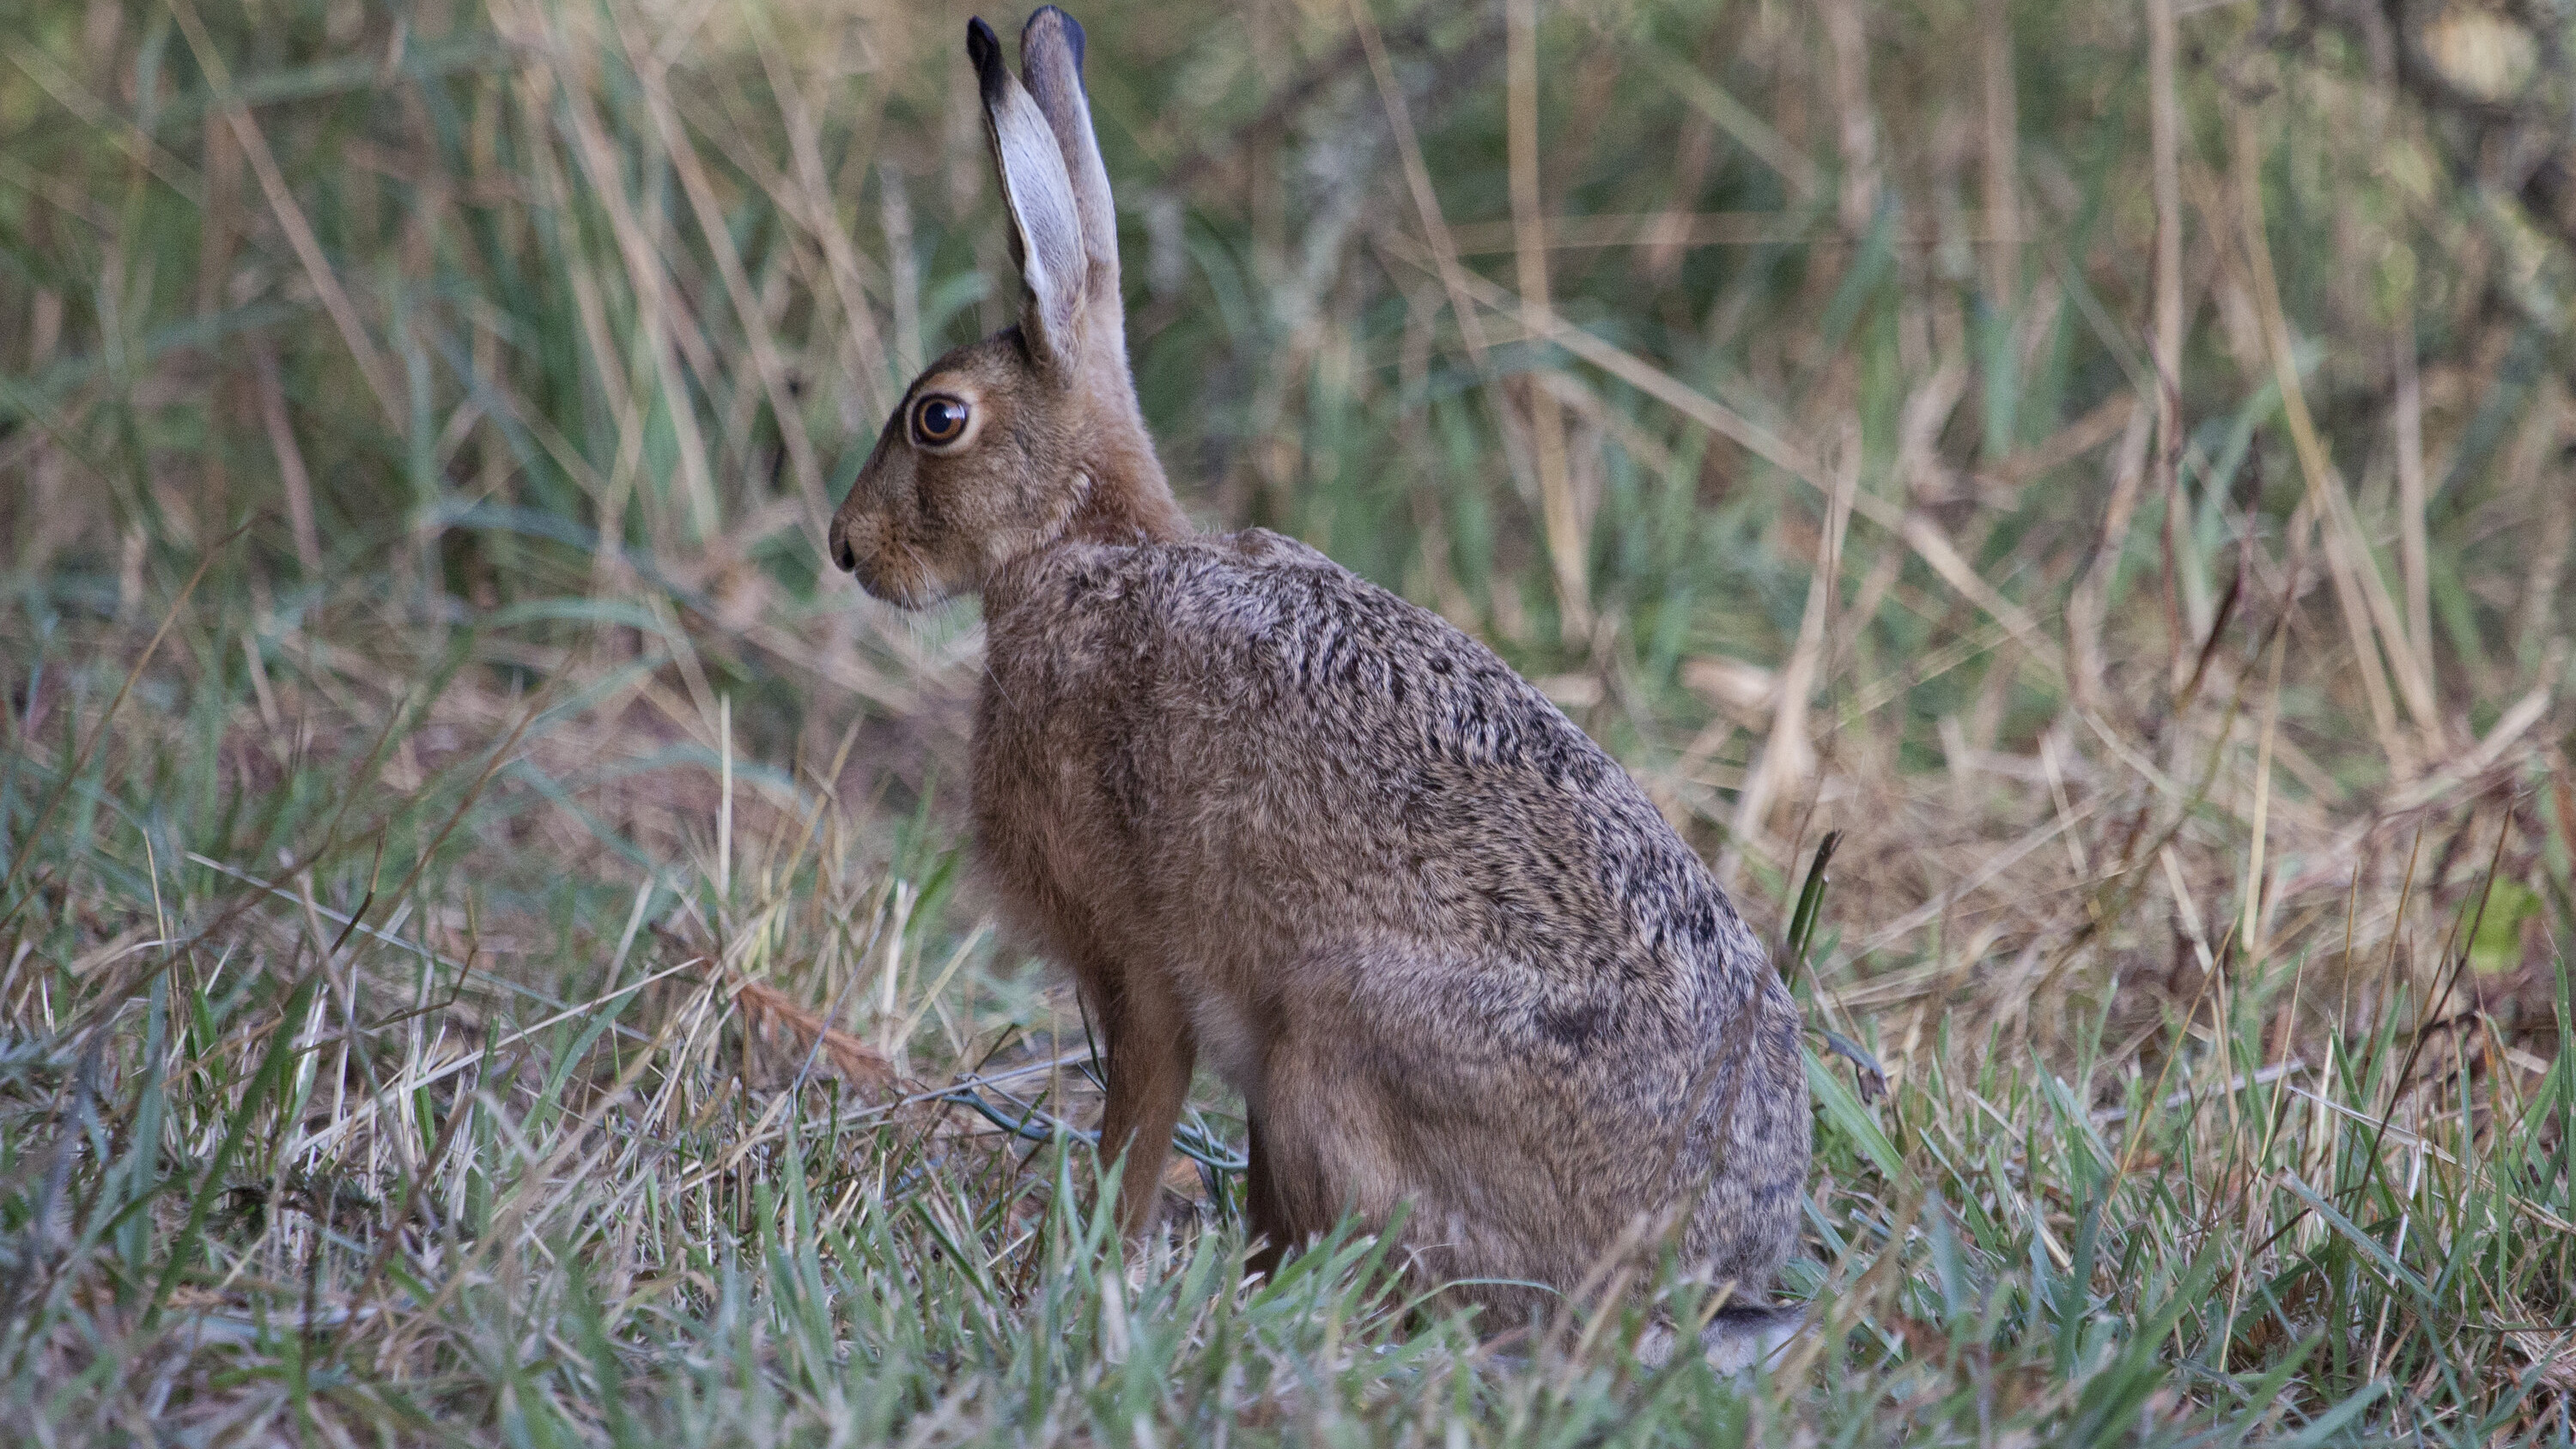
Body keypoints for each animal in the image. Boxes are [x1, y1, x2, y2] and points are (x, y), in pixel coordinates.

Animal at [826, 7, 1812, 1358]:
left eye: (939, 418)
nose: (845, 548)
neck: (1084, 544)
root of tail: (1693, 1277)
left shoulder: (1142, 973)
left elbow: (1136, 1122)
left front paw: (1082, 1272)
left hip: (1330, 1051)